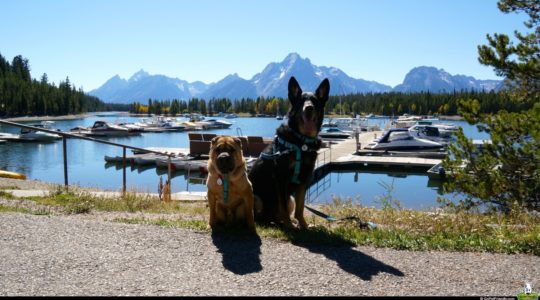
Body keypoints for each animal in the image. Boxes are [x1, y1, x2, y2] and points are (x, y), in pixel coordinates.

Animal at [248, 76, 330, 229]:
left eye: (315, 101)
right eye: (301, 101)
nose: (309, 108)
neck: (301, 141)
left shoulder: (304, 179)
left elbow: (300, 208)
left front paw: (303, 225)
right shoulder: (281, 178)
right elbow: (284, 208)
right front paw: (290, 225)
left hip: (290, 198)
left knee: (275, 216)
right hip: (255, 197)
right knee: (260, 218)